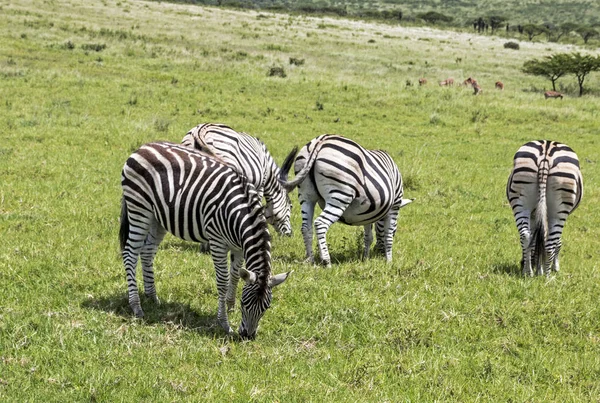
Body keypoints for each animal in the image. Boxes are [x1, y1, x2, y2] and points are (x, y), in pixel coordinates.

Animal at [119, 142, 290, 338]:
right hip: (139, 208)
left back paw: (152, 297)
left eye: (266, 308)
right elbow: (223, 281)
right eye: (245, 304)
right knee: (130, 253)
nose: (247, 337)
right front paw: (224, 322)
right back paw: (136, 306)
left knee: (147, 253)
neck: (240, 214)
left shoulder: (239, 247)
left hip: (157, 218)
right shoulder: (217, 242)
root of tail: (142, 147)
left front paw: (229, 306)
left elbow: (235, 275)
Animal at [278, 135, 412, 268]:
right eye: (396, 228)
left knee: (306, 227)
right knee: (320, 223)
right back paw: (327, 262)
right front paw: (389, 262)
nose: (377, 253)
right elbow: (388, 235)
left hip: (306, 195)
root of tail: (320, 141)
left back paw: (311, 261)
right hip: (340, 195)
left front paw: (366, 258)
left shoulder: (368, 213)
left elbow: (368, 237)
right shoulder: (394, 206)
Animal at [504, 140, 584, 276]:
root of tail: (545, 154)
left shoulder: (534, 214)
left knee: (526, 235)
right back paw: (547, 276)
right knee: (551, 241)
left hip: (521, 200)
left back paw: (528, 272)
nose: (521, 264)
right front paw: (554, 267)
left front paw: (535, 266)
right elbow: (556, 241)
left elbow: (536, 238)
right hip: (559, 210)